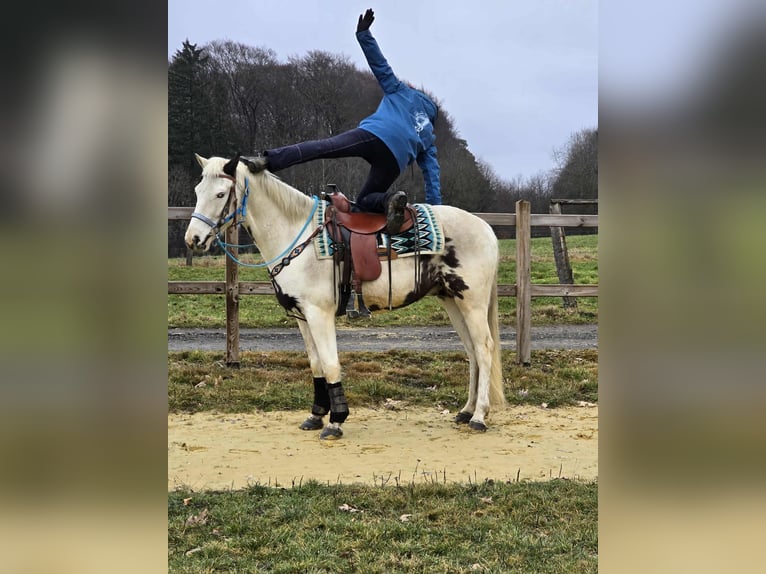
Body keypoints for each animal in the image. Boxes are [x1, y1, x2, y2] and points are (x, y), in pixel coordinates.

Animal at [185, 154, 506, 439]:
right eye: (198, 191)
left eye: (221, 193)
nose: (193, 239)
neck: (297, 236)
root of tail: (485, 228)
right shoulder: (302, 316)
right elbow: (315, 364)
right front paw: (315, 415)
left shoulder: (319, 313)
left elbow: (330, 363)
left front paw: (336, 421)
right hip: (452, 300)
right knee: (472, 351)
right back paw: (466, 411)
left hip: (472, 302)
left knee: (484, 348)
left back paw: (479, 416)